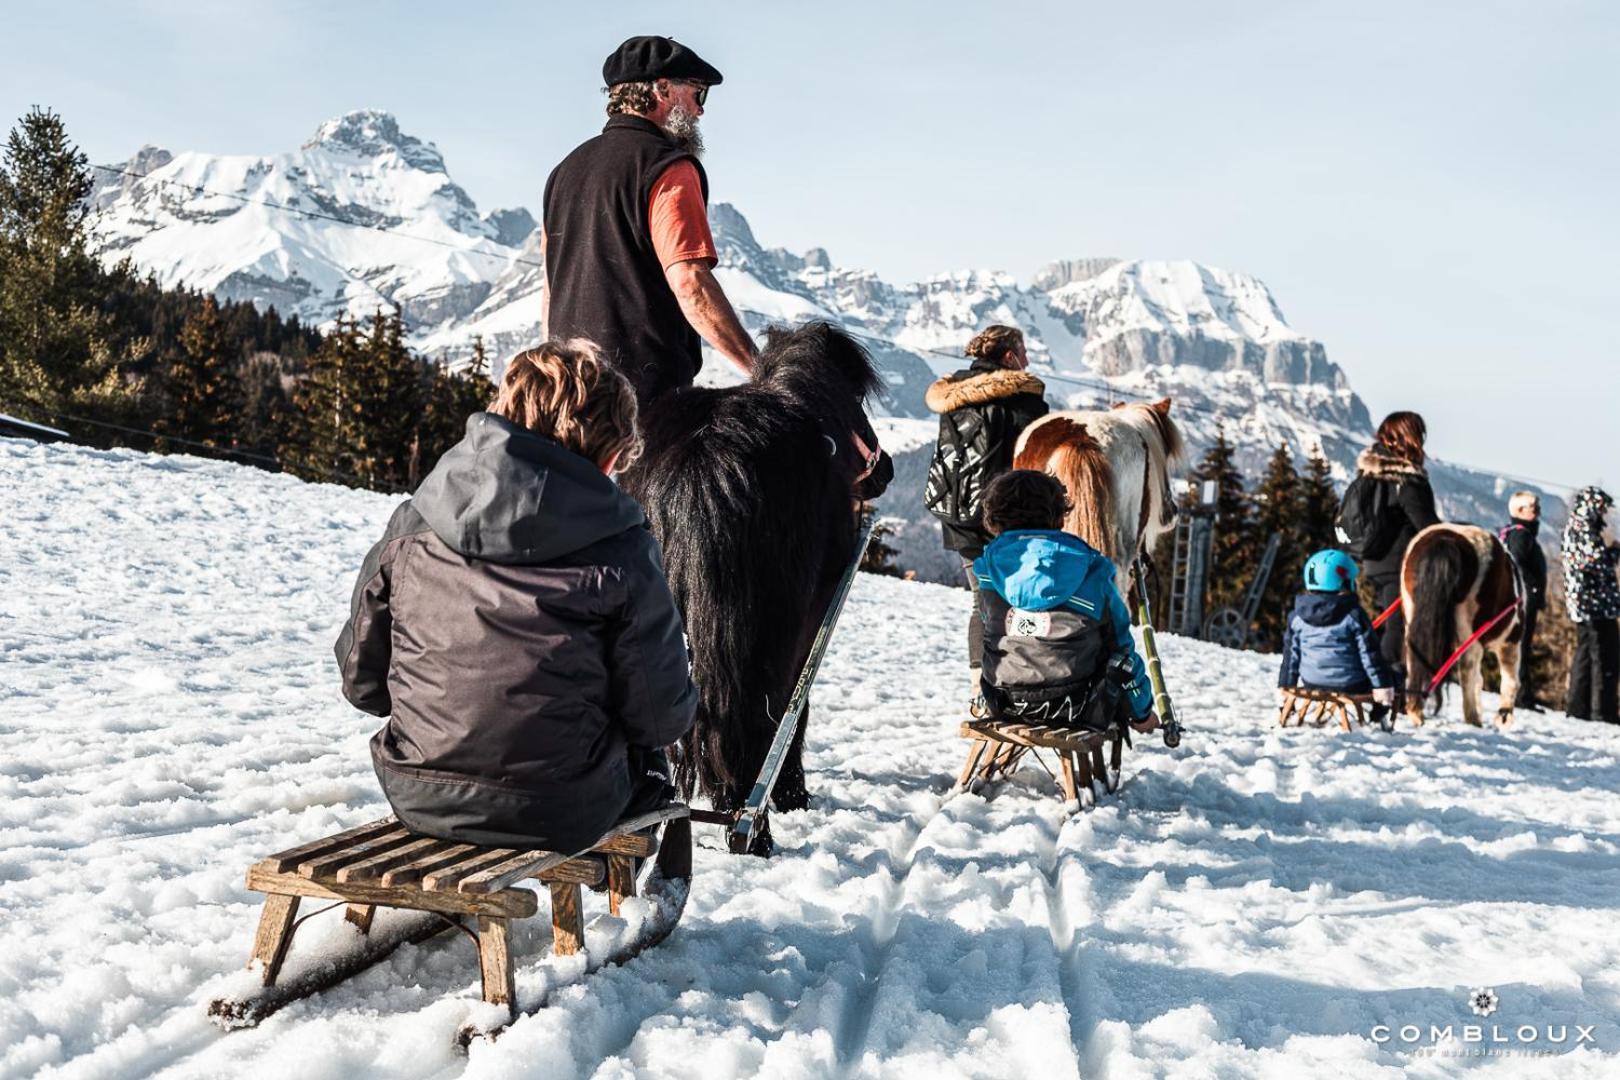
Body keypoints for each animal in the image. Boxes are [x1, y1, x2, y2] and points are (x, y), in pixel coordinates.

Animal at [622, 323, 900, 854]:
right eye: (857, 397)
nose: (886, 469)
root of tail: (705, 460)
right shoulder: (813, 618)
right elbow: (797, 703)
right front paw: (792, 793)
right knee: (757, 713)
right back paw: (751, 826)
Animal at [1406, 524, 1516, 725]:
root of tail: (1446, 540)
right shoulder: (1510, 639)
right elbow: (1509, 678)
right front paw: (1504, 717)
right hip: (1470, 632)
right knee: (1468, 666)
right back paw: (1473, 718)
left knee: (1413, 655)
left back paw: (1415, 711)